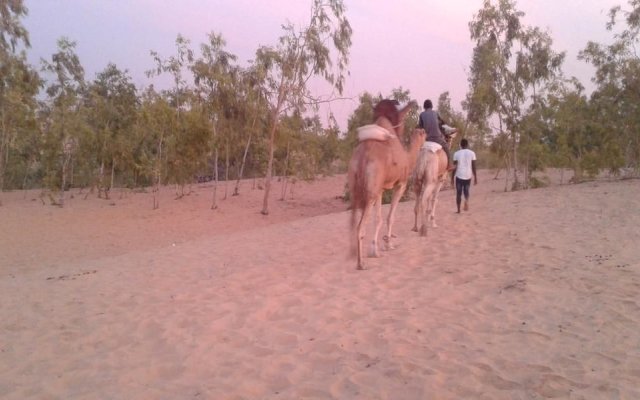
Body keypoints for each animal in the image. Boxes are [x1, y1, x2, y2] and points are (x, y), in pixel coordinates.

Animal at [348, 99, 428, 270]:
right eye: (422, 133)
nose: (426, 132)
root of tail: (363, 156)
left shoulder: (380, 189)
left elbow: (378, 219)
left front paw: (375, 251)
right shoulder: (400, 184)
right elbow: (390, 216)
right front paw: (389, 244)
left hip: (356, 186)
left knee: (352, 220)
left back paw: (351, 254)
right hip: (370, 190)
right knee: (360, 226)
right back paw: (361, 263)